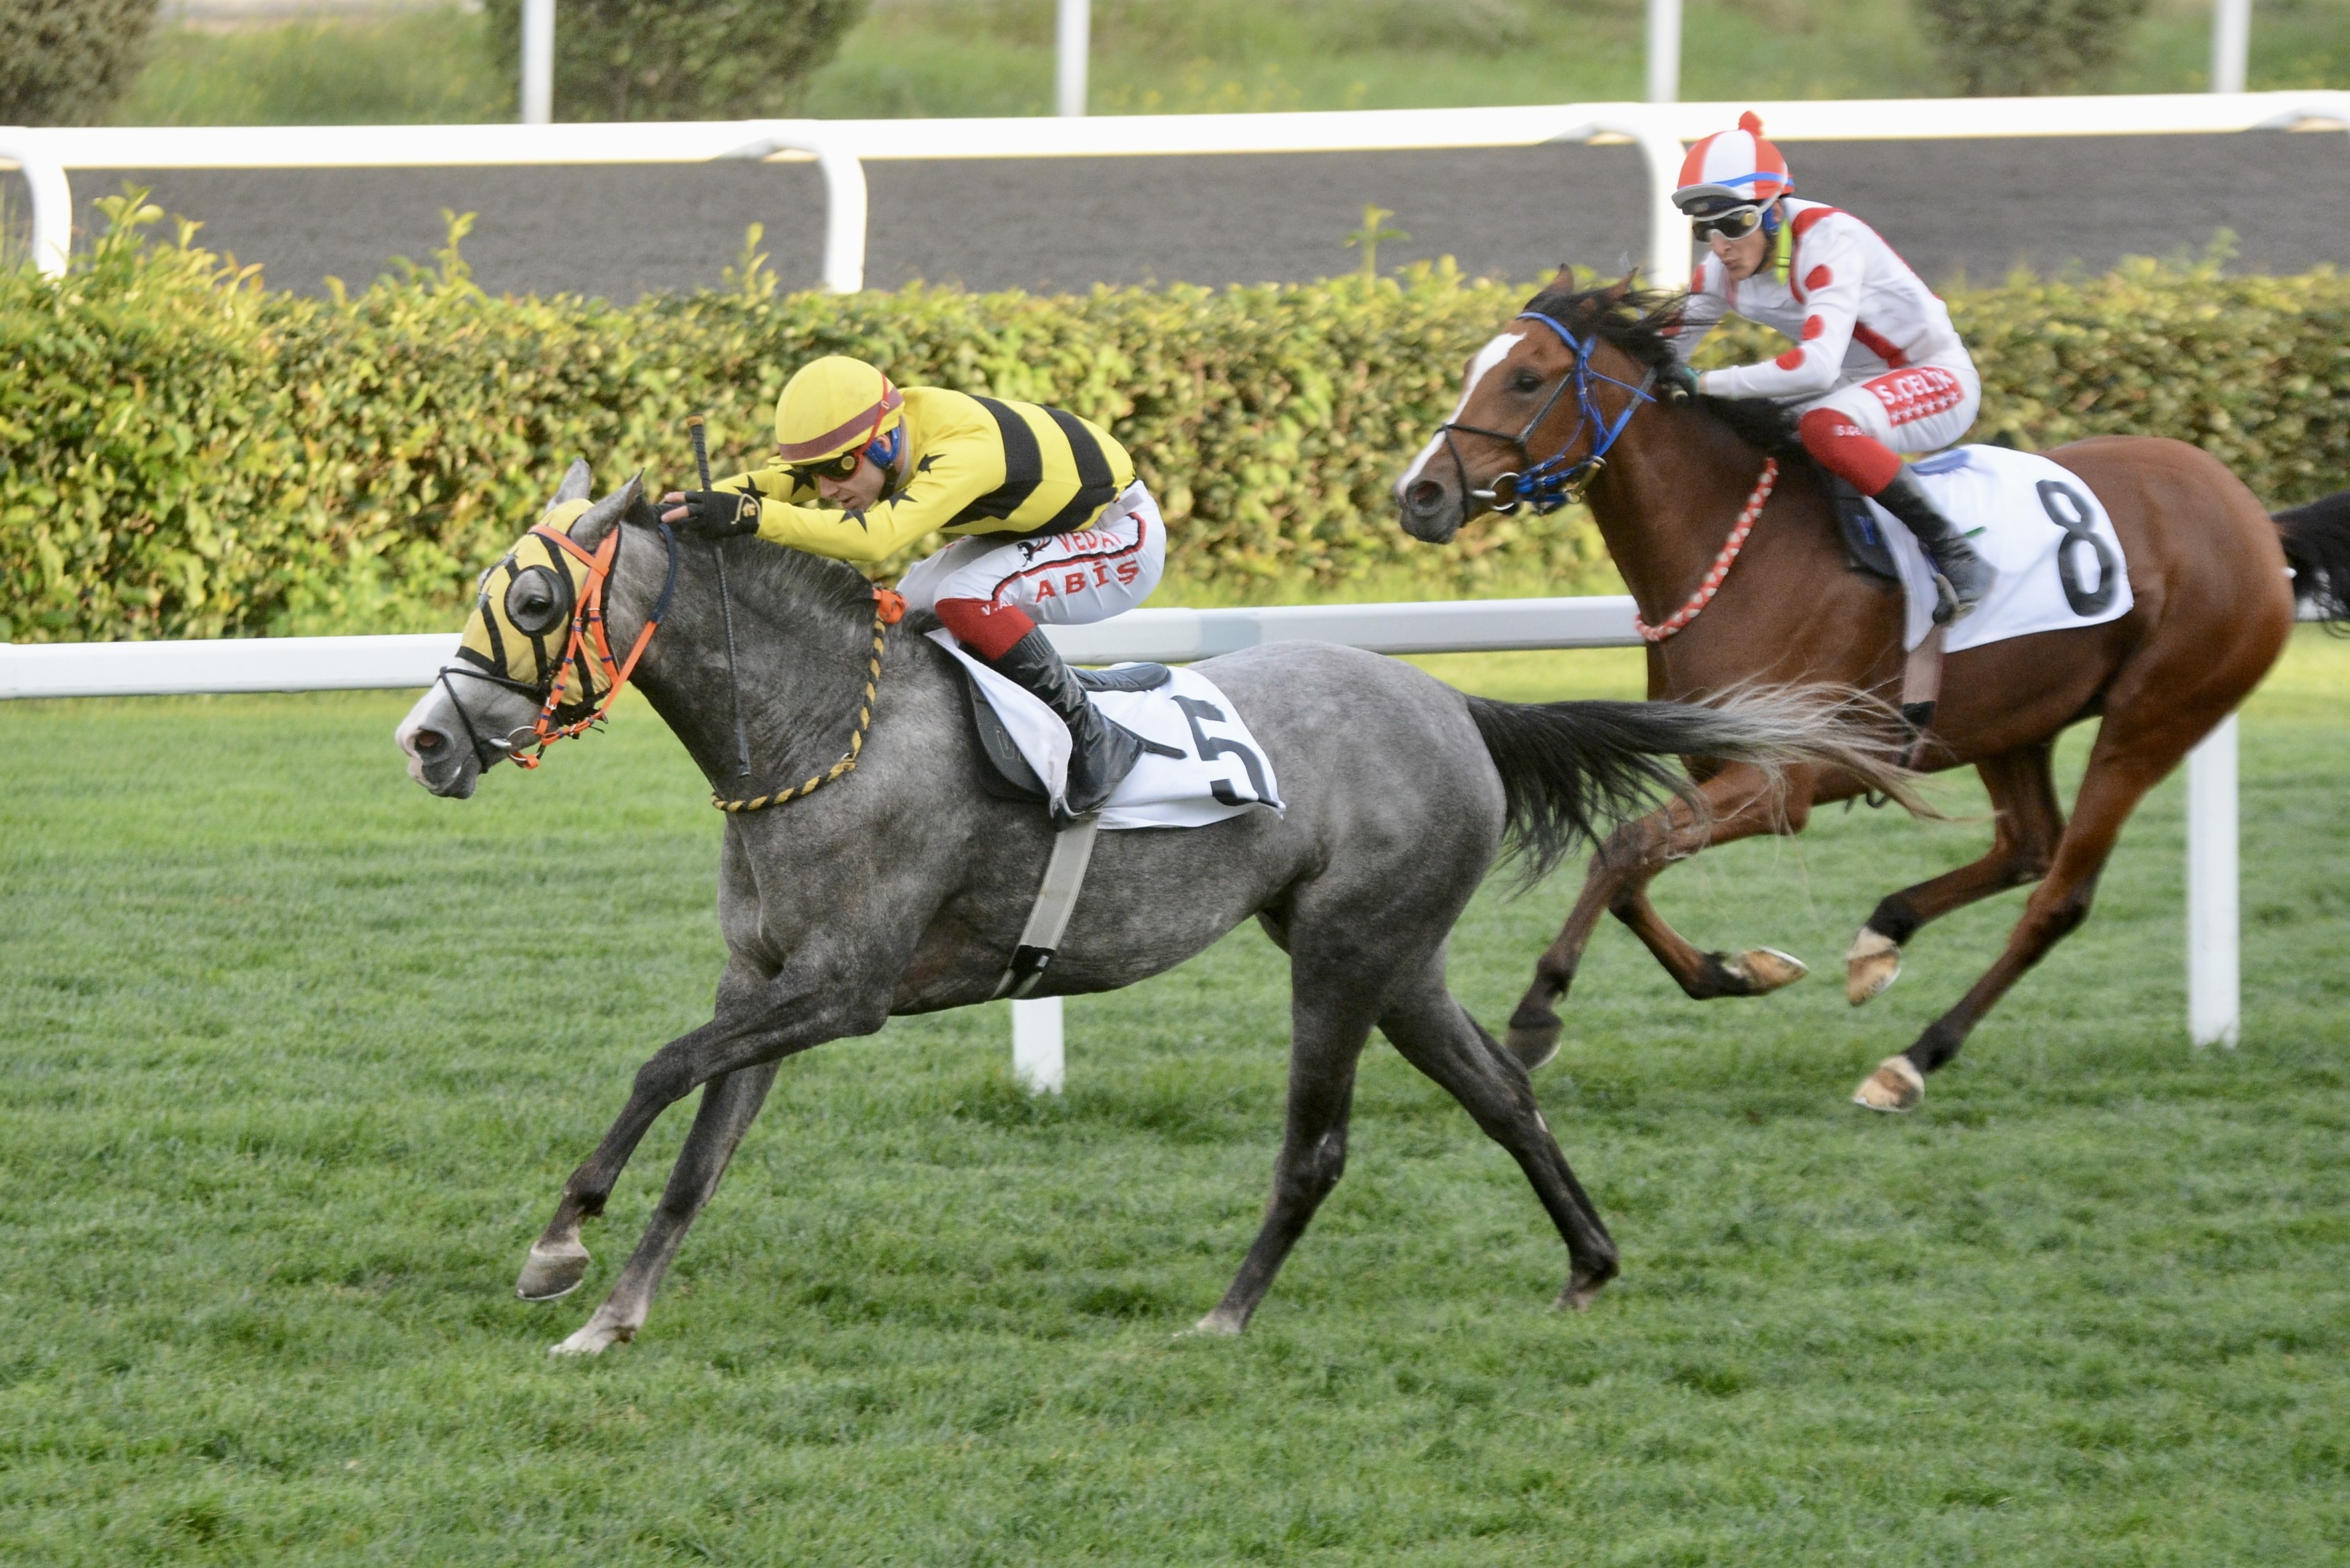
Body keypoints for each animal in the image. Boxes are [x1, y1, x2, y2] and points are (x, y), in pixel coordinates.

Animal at [394, 460, 1914, 1353]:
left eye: (532, 599)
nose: (425, 741)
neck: (822, 729)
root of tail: (1459, 704)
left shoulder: (848, 991)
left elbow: (659, 1073)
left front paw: (557, 1246)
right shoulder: (765, 983)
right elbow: (703, 1150)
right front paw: (613, 1313)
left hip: (1344, 957)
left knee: (1318, 1148)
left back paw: (1226, 1316)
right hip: (1396, 958)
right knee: (1504, 1093)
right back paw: (1590, 1265)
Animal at [1393, 278, 2350, 1112]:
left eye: (1527, 378)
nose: (1420, 494)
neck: (1741, 551)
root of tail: (2255, 520)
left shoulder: (1782, 779)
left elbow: (1623, 849)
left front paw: (1537, 1012)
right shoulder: (1721, 765)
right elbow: (1630, 869)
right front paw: (1738, 970)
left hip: (2153, 720)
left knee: (2059, 896)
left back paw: (1913, 1060)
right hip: (2013, 724)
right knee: (2027, 847)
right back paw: (1882, 938)